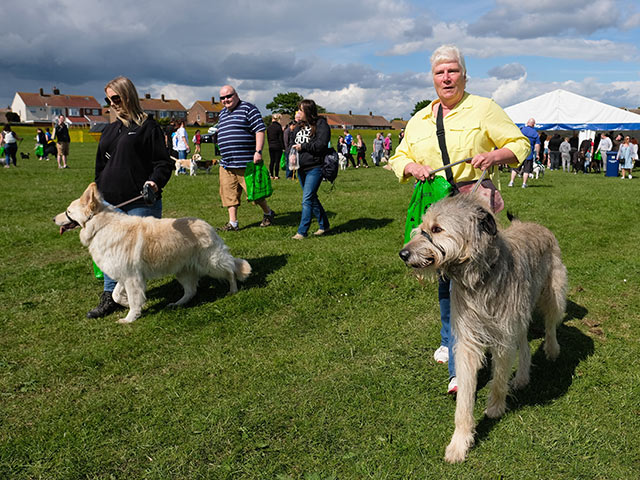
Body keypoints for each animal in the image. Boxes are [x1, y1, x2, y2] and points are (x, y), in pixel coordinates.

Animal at [53, 183, 251, 322]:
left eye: (68, 211)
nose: (53, 218)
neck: (101, 226)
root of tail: (207, 226)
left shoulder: (132, 277)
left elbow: (133, 299)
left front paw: (130, 318)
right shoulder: (124, 274)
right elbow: (117, 295)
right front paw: (130, 304)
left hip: (211, 263)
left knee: (231, 269)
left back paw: (233, 289)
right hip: (183, 270)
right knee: (191, 290)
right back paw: (177, 304)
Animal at [398, 193, 568, 464]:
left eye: (436, 229)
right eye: (423, 226)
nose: (403, 253)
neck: (478, 278)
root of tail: (534, 224)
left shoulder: (502, 336)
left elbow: (498, 379)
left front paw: (495, 408)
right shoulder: (468, 341)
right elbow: (465, 398)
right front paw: (460, 441)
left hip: (552, 294)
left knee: (551, 324)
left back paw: (552, 350)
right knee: (524, 347)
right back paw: (521, 378)